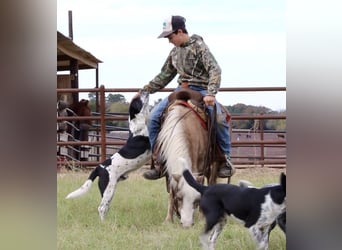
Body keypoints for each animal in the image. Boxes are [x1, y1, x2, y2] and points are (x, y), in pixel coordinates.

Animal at [66, 92, 152, 221]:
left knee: (104, 207)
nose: (144, 91)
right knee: (101, 208)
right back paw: (103, 223)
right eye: (138, 100)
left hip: (109, 189)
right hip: (108, 188)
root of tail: (99, 167)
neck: (137, 125)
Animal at [154, 88, 230, 229]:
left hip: (215, 161)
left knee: (211, 181)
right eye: (179, 198)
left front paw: (202, 217)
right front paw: (168, 219)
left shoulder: (201, 164)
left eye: (196, 200)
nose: (187, 224)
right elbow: (171, 190)